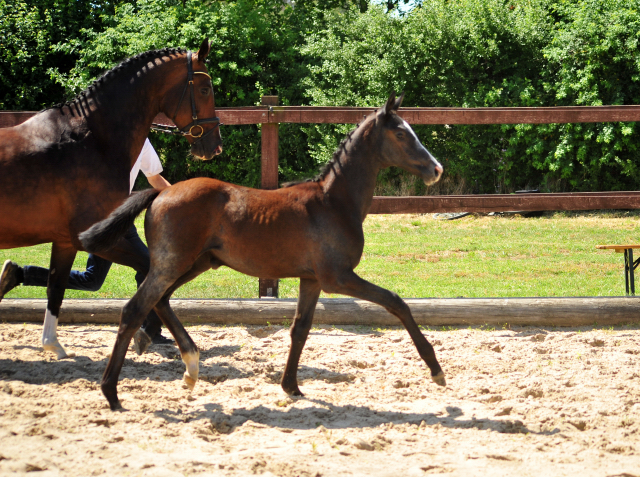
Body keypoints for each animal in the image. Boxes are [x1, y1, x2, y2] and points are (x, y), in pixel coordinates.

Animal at [0, 39, 222, 356]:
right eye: (205, 89)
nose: (215, 146)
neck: (93, 140)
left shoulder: (66, 241)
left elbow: (56, 287)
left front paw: (52, 345)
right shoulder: (91, 238)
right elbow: (148, 274)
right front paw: (147, 332)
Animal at [80, 93, 448, 410]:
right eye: (401, 133)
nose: (436, 169)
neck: (333, 203)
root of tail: (160, 194)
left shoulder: (312, 280)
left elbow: (300, 329)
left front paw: (291, 387)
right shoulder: (338, 278)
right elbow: (396, 302)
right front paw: (436, 370)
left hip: (194, 263)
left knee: (162, 301)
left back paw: (191, 367)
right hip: (172, 264)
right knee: (135, 309)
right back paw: (112, 392)